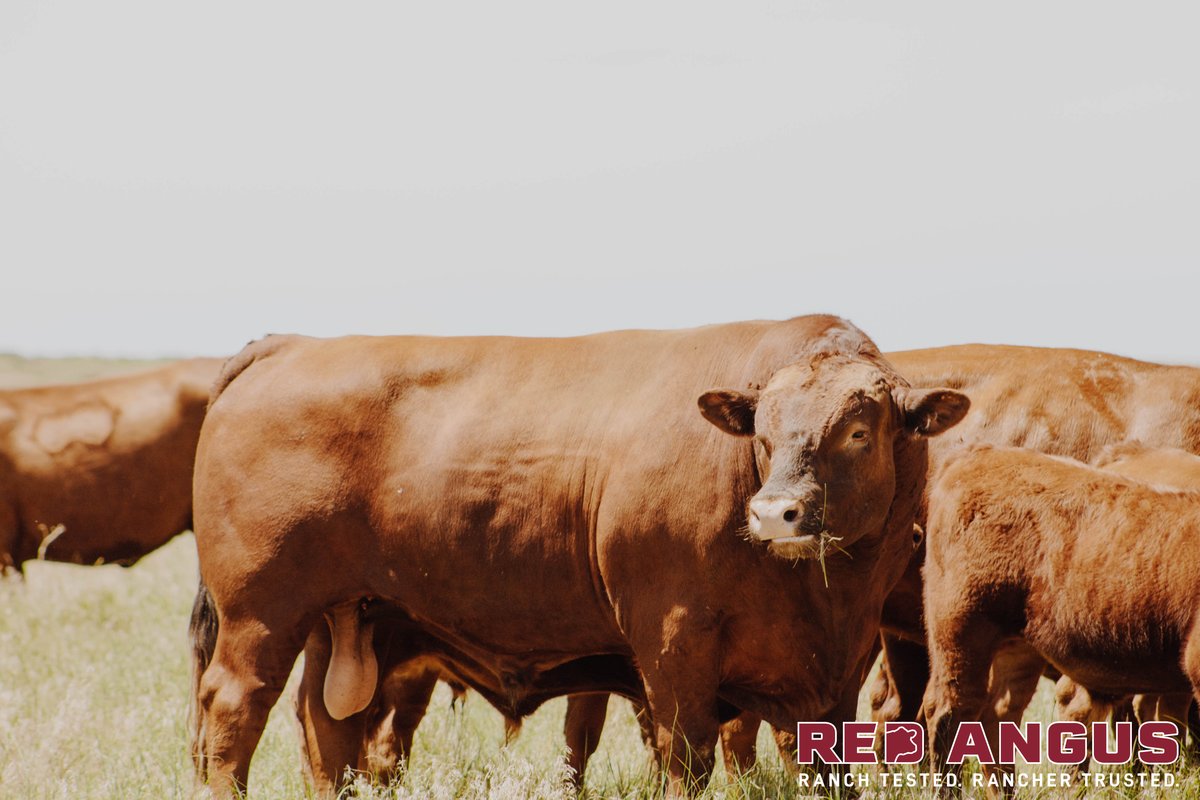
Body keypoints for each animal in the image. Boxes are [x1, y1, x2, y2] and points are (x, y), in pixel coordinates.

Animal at [187, 316, 969, 797]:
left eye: (859, 431)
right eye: (765, 432)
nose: (774, 513)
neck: (819, 597)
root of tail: (289, 345)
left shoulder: (845, 662)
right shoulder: (673, 642)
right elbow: (684, 756)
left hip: (348, 619)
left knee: (328, 730)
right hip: (260, 617)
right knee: (233, 715)